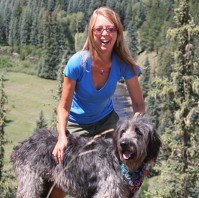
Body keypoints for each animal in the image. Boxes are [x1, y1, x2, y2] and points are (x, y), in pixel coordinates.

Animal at [10, 117, 161, 197]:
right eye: (123, 131)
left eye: (139, 132)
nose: (123, 144)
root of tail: (23, 144)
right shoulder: (107, 191)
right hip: (31, 182)